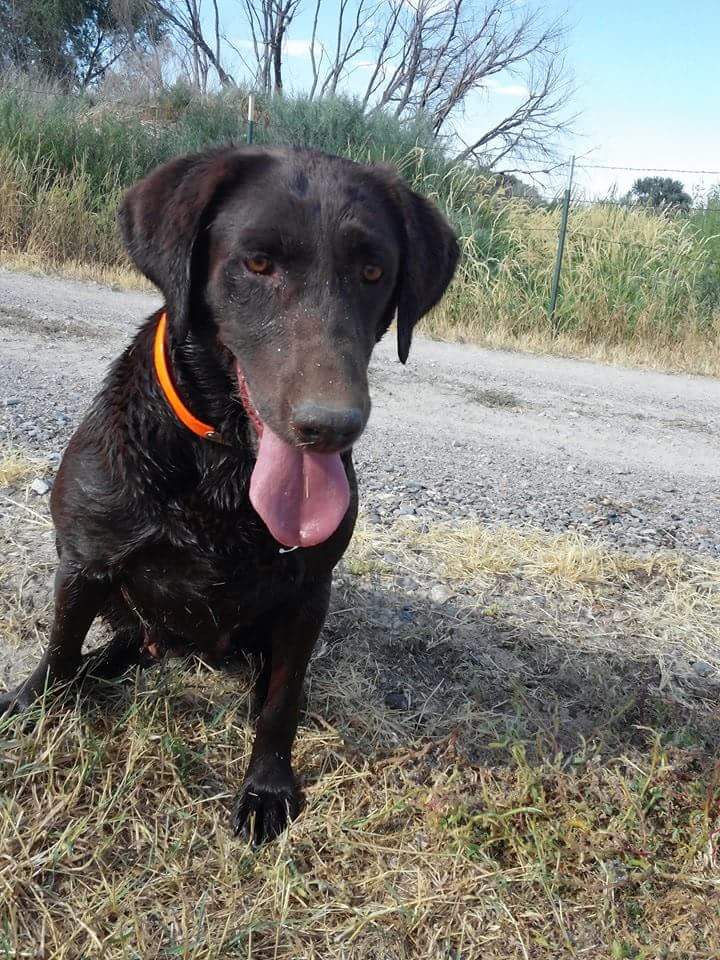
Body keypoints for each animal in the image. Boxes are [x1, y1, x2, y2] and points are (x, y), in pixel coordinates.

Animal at [0, 146, 458, 844]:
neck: (225, 462)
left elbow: (282, 703)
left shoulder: (306, 594)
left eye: (373, 271)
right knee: (113, 644)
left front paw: (267, 785)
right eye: (258, 263)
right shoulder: (85, 561)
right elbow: (57, 648)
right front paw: (31, 707)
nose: (331, 427)